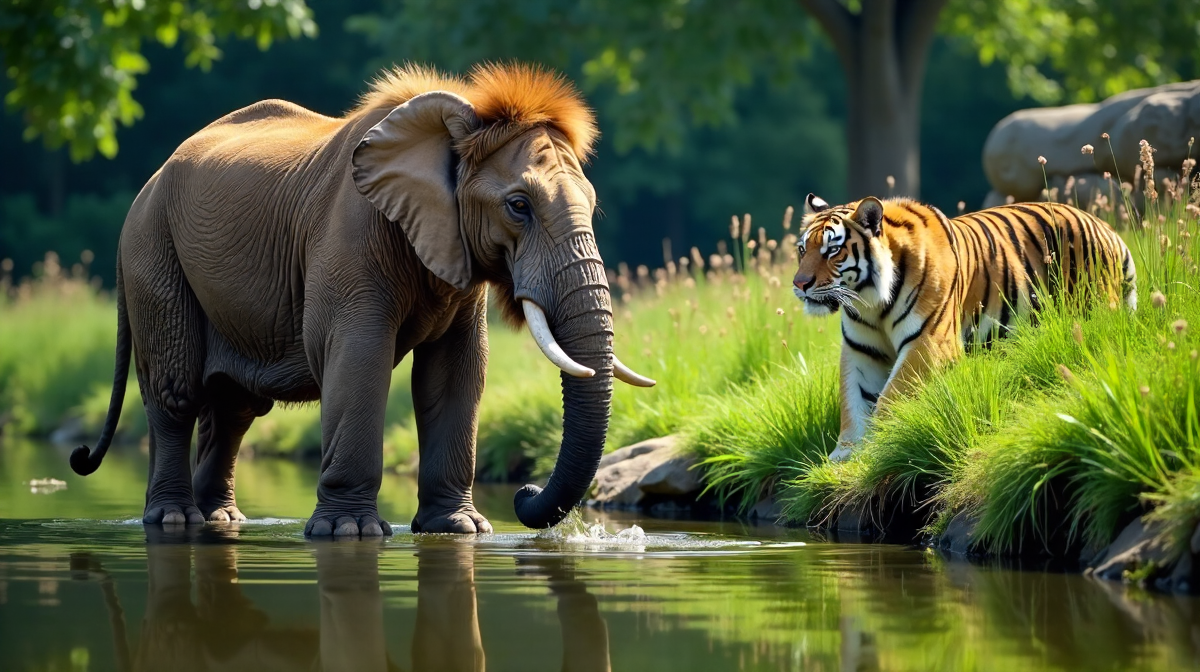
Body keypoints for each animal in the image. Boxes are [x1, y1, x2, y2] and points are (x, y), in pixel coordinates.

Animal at [69, 62, 654, 536]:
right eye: (518, 206)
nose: (524, 495)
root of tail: (146, 187)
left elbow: (456, 369)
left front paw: (459, 529)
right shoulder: (349, 239)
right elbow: (358, 354)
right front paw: (350, 532)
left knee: (235, 408)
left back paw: (222, 519)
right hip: (153, 254)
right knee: (177, 395)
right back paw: (175, 520)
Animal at [791, 194, 1136, 461]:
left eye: (833, 250)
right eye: (802, 249)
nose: (799, 284)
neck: (871, 302)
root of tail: (1106, 227)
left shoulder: (930, 343)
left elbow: (891, 398)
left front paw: (879, 444)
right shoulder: (861, 351)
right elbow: (852, 403)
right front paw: (844, 455)